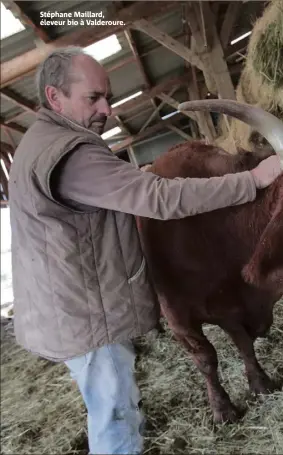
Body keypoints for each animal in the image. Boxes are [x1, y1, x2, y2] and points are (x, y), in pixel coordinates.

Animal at [138, 100, 283, 424]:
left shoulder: (230, 307)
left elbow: (244, 344)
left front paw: (260, 383)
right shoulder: (181, 321)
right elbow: (206, 359)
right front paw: (222, 408)